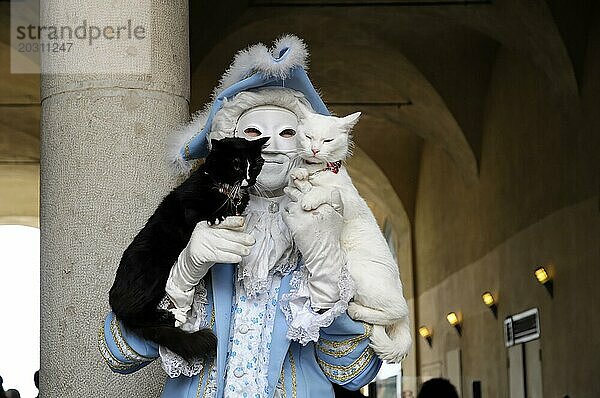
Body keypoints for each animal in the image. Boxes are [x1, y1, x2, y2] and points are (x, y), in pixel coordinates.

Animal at [108, 137, 268, 360]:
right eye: (236, 164)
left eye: (254, 165)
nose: (248, 180)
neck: (227, 192)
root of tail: (113, 299)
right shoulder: (187, 204)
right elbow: (197, 212)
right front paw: (216, 217)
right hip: (153, 273)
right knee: (135, 315)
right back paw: (172, 315)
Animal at [290, 107, 412, 362]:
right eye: (308, 137)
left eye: (327, 140)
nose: (315, 149)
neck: (318, 171)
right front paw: (299, 173)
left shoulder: (348, 199)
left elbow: (328, 191)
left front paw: (310, 196)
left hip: (358, 271)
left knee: (399, 309)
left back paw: (356, 309)